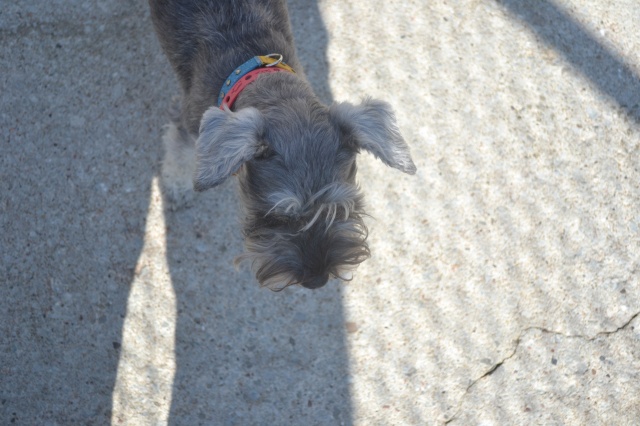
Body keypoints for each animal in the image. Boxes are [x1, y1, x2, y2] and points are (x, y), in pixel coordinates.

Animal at [148, 0, 416, 290]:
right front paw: (177, 188)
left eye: (339, 209)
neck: (251, 70)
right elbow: (179, 156)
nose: (317, 280)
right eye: (277, 217)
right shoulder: (187, 126)